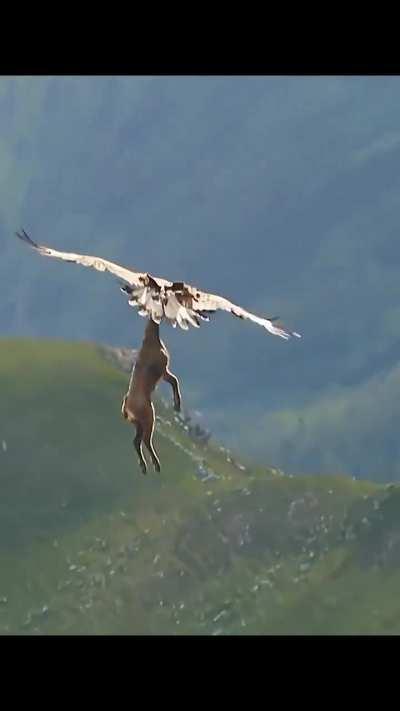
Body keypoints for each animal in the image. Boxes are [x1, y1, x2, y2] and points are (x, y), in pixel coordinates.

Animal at [121, 318, 182, 474]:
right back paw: (156, 464)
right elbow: (175, 380)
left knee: (136, 441)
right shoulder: (163, 368)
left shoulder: (164, 372)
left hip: (137, 422)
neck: (152, 339)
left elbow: (174, 380)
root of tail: (126, 407)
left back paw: (144, 466)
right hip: (148, 418)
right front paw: (177, 405)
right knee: (145, 440)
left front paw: (176, 405)